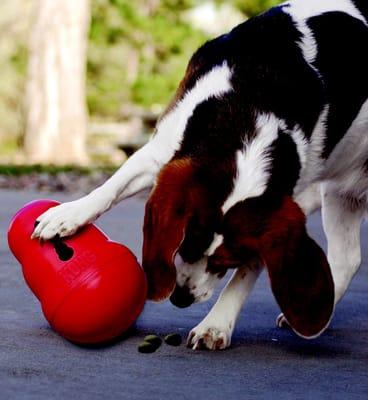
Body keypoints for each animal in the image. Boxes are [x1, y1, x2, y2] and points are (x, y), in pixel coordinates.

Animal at [33, 0, 366, 350]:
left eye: (224, 263)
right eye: (183, 243)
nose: (180, 298)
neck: (248, 112)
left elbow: (248, 270)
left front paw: (216, 324)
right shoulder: (163, 149)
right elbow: (111, 187)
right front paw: (69, 215)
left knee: (346, 258)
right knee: (348, 258)